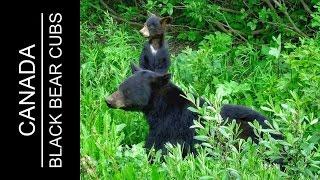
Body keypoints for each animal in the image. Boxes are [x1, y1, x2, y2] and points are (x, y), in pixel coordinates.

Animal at [106, 64, 282, 156]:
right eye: (120, 86)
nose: (108, 100)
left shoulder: (171, 126)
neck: (161, 109)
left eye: (127, 91)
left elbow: (157, 148)